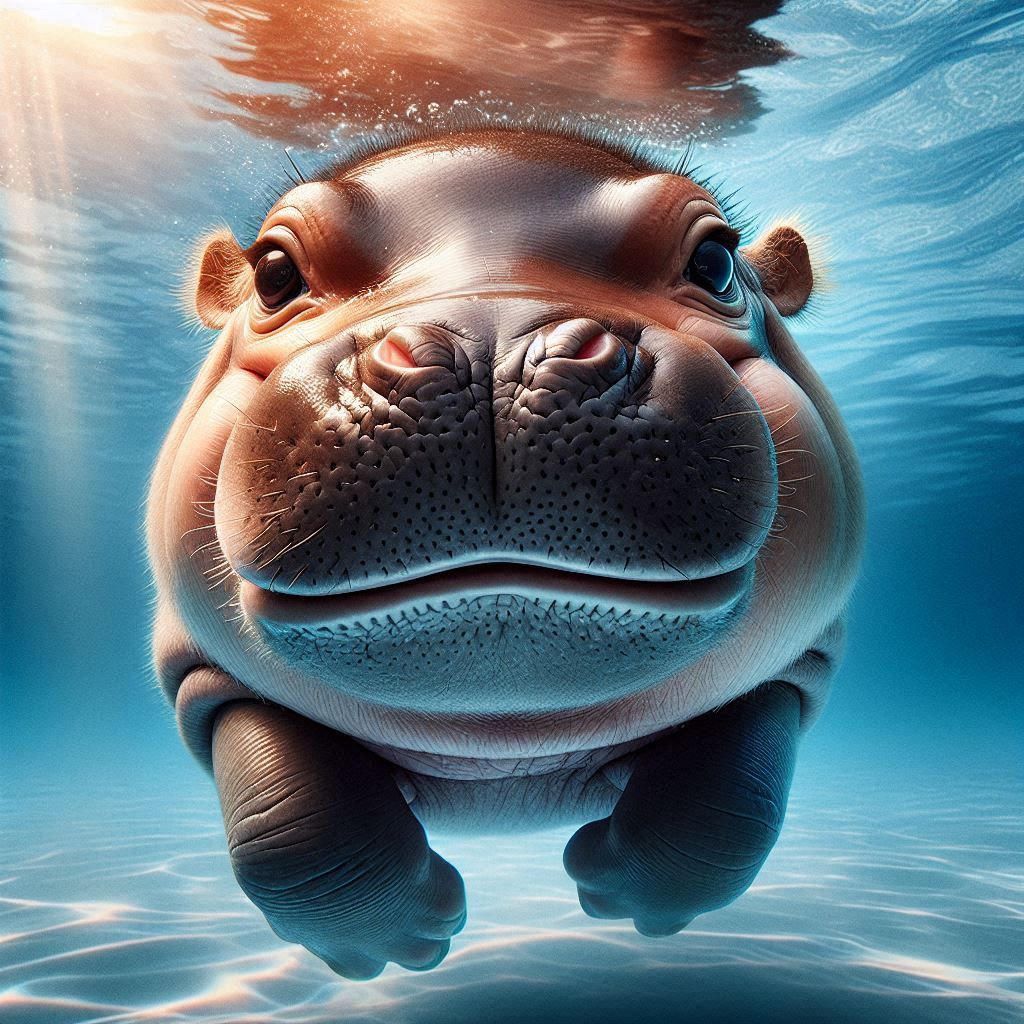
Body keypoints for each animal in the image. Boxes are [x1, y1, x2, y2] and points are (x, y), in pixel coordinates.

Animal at [146, 126, 863, 979]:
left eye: (716, 262)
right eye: (274, 273)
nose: (492, 345)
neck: (501, 748)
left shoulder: (797, 668)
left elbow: (729, 808)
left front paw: (617, 895)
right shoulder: (205, 677)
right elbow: (289, 830)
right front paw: (397, 944)